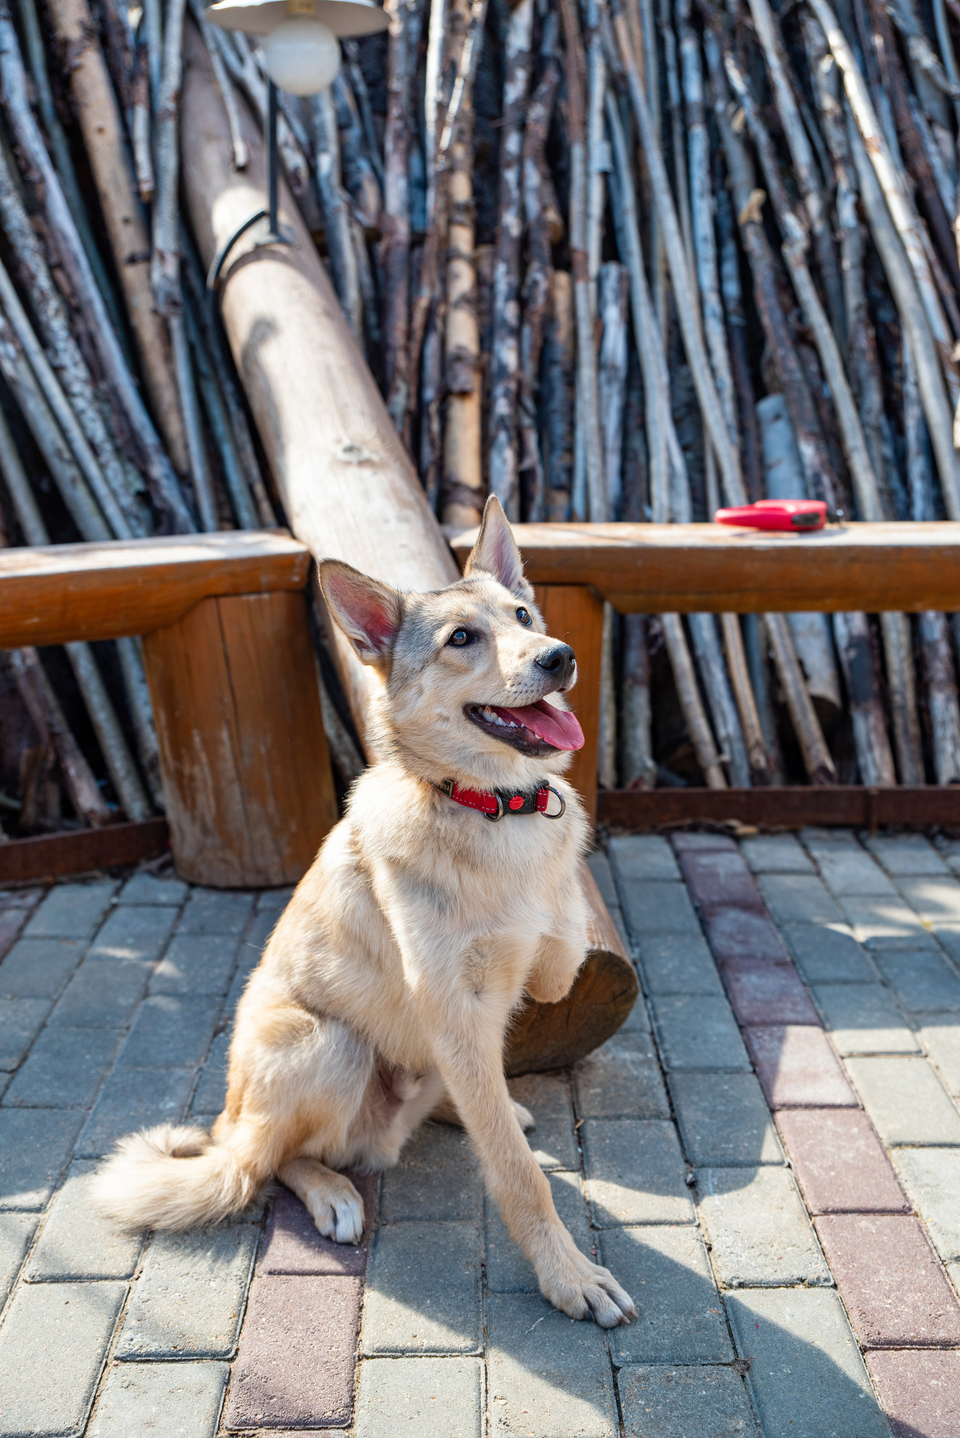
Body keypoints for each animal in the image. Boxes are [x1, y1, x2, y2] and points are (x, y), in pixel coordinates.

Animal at [95, 500, 638, 1328]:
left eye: (522, 615)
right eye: (460, 639)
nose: (559, 657)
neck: (491, 807)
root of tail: (226, 1122)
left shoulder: (529, 968)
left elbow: (560, 938)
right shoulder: (452, 1005)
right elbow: (520, 1177)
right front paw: (567, 1273)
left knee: (456, 1100)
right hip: (328, 1045)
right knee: (273, 1161)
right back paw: (331, 1190)